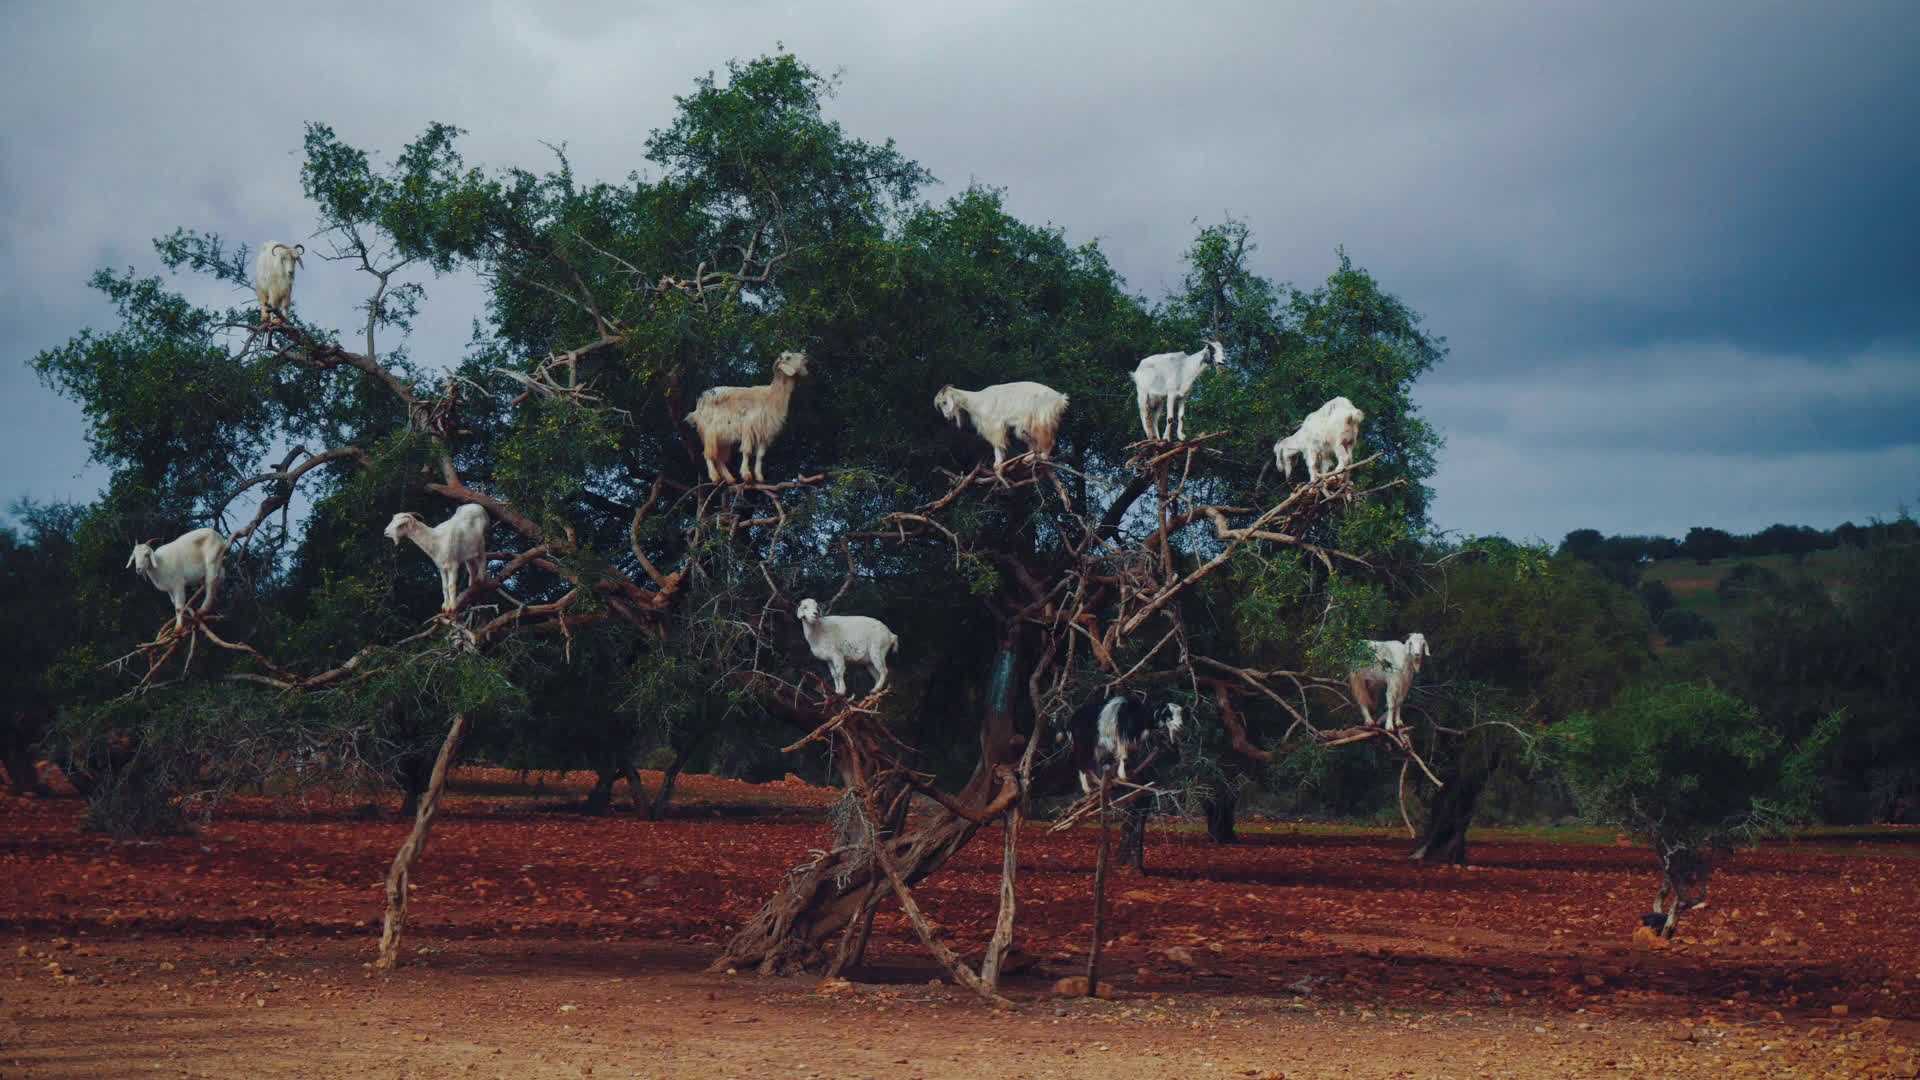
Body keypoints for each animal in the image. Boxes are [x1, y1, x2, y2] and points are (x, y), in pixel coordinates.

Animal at [683, 349, 810, 484]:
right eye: (788, 357)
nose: (805, 356)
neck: (771, 395)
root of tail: (698, 404)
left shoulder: (764, 431)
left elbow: (760, 455)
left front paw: (759, 477)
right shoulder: (749, 426)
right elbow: (747, 451)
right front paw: (746, 474)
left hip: (722, 438)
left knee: (718, 457)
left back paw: (730, 479)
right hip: (708, 431)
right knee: (708, 454)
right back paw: (714, 476)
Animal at [929, 378, 1067, 466]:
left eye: (945, 402)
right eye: (941, 405)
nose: (947, 417)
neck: (977, 401)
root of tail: (1060, 399)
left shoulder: (994, 424)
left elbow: (997, 443)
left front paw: (998, 462)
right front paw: (998, 463)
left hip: (1042, 417)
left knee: (1048, 439)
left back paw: (1043, 456)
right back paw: (1029, 458)